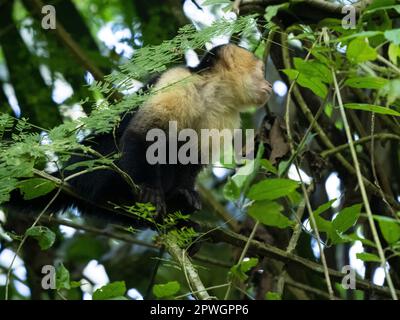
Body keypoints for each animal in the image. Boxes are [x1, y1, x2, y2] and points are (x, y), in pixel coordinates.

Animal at [7, 43, 272, 228]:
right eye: (261, 71)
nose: (270, 85)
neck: (214, 92)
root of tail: (69, 176)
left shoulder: (226, 116)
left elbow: (193, 157)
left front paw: (186, 194)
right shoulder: (178, 80)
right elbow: (144, 134)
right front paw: (149, 189)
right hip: (92, 172)